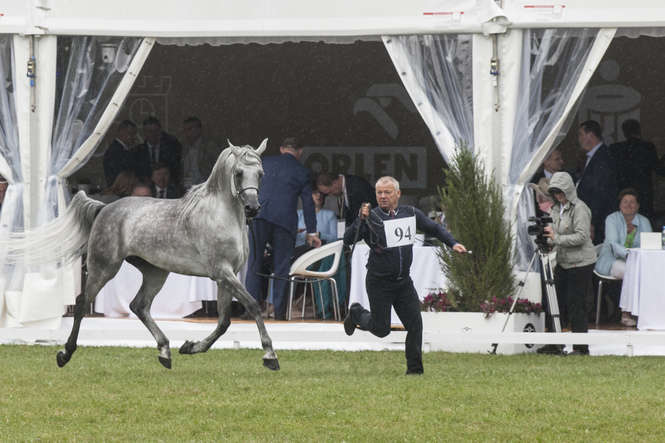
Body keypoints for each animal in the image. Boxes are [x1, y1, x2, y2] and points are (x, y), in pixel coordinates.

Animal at [41, 140, 276, 370]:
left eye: (261, 173)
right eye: (238, 173)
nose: (252, 207)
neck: (219, 217)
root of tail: (104, 208)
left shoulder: (228, 275)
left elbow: (224, 321)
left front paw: (191, 347)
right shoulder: (222, 272)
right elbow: (253, 305)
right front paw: (269, 355)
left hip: (155, 272)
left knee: (139, 305)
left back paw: (165, 351)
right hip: (104, 267)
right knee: (83, 303)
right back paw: (65, 354)